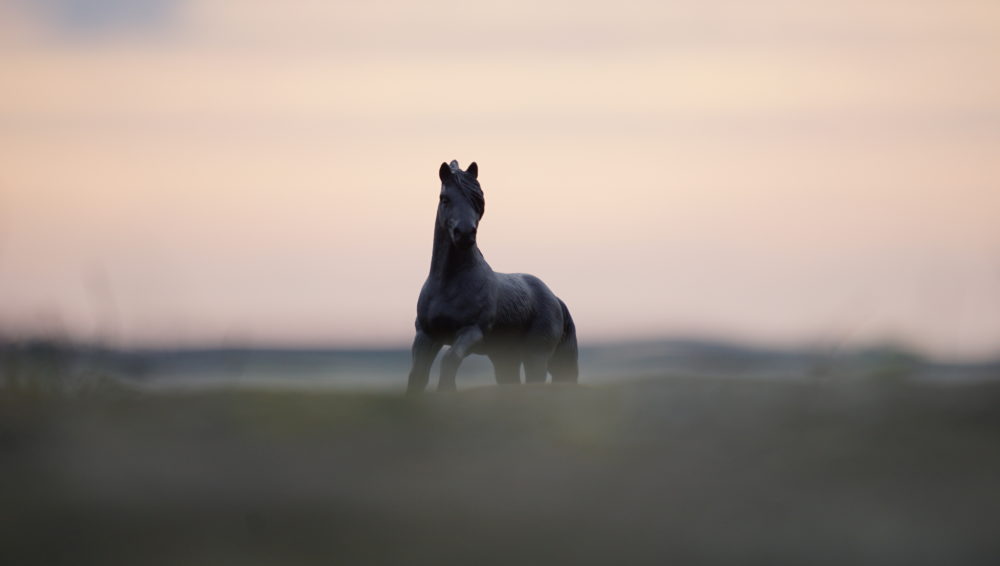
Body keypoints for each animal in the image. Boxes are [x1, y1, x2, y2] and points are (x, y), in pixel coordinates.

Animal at [406, 158, 580, 392]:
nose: (465, 233)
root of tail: (555, 299)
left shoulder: (472, 333)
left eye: (477, 199)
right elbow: (417, 375)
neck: (448, 284)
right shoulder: (426, 336)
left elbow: (449, 360)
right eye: (445, 199)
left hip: (536, 356)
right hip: (505, 357)